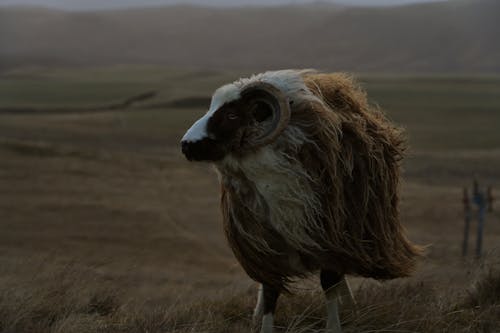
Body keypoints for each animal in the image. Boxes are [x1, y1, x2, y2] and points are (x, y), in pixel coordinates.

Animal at [180, 70, 422, 332]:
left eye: (232, 115)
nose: (186, 145)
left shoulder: (330, 240)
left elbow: (329, 283)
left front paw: (334, 326)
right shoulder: (266, 245)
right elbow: (270, 290)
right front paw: (264, 325)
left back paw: (351, 307)